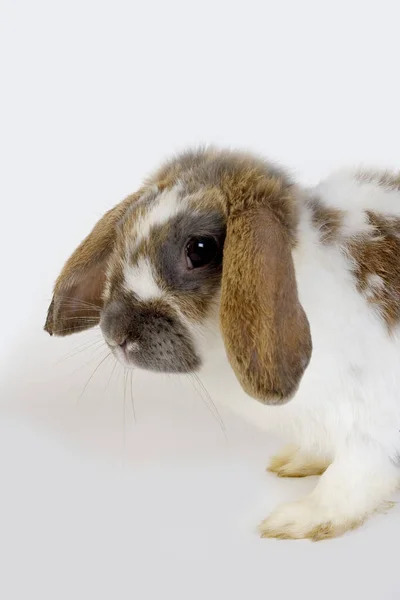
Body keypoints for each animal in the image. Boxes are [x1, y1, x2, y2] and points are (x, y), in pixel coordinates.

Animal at [43, 149, 400, 540]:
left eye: (201, 249)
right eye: (122, 230)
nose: (115, 334)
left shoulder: (370, 427)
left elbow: (349, 479)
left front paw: (298, 520)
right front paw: (296, 461)